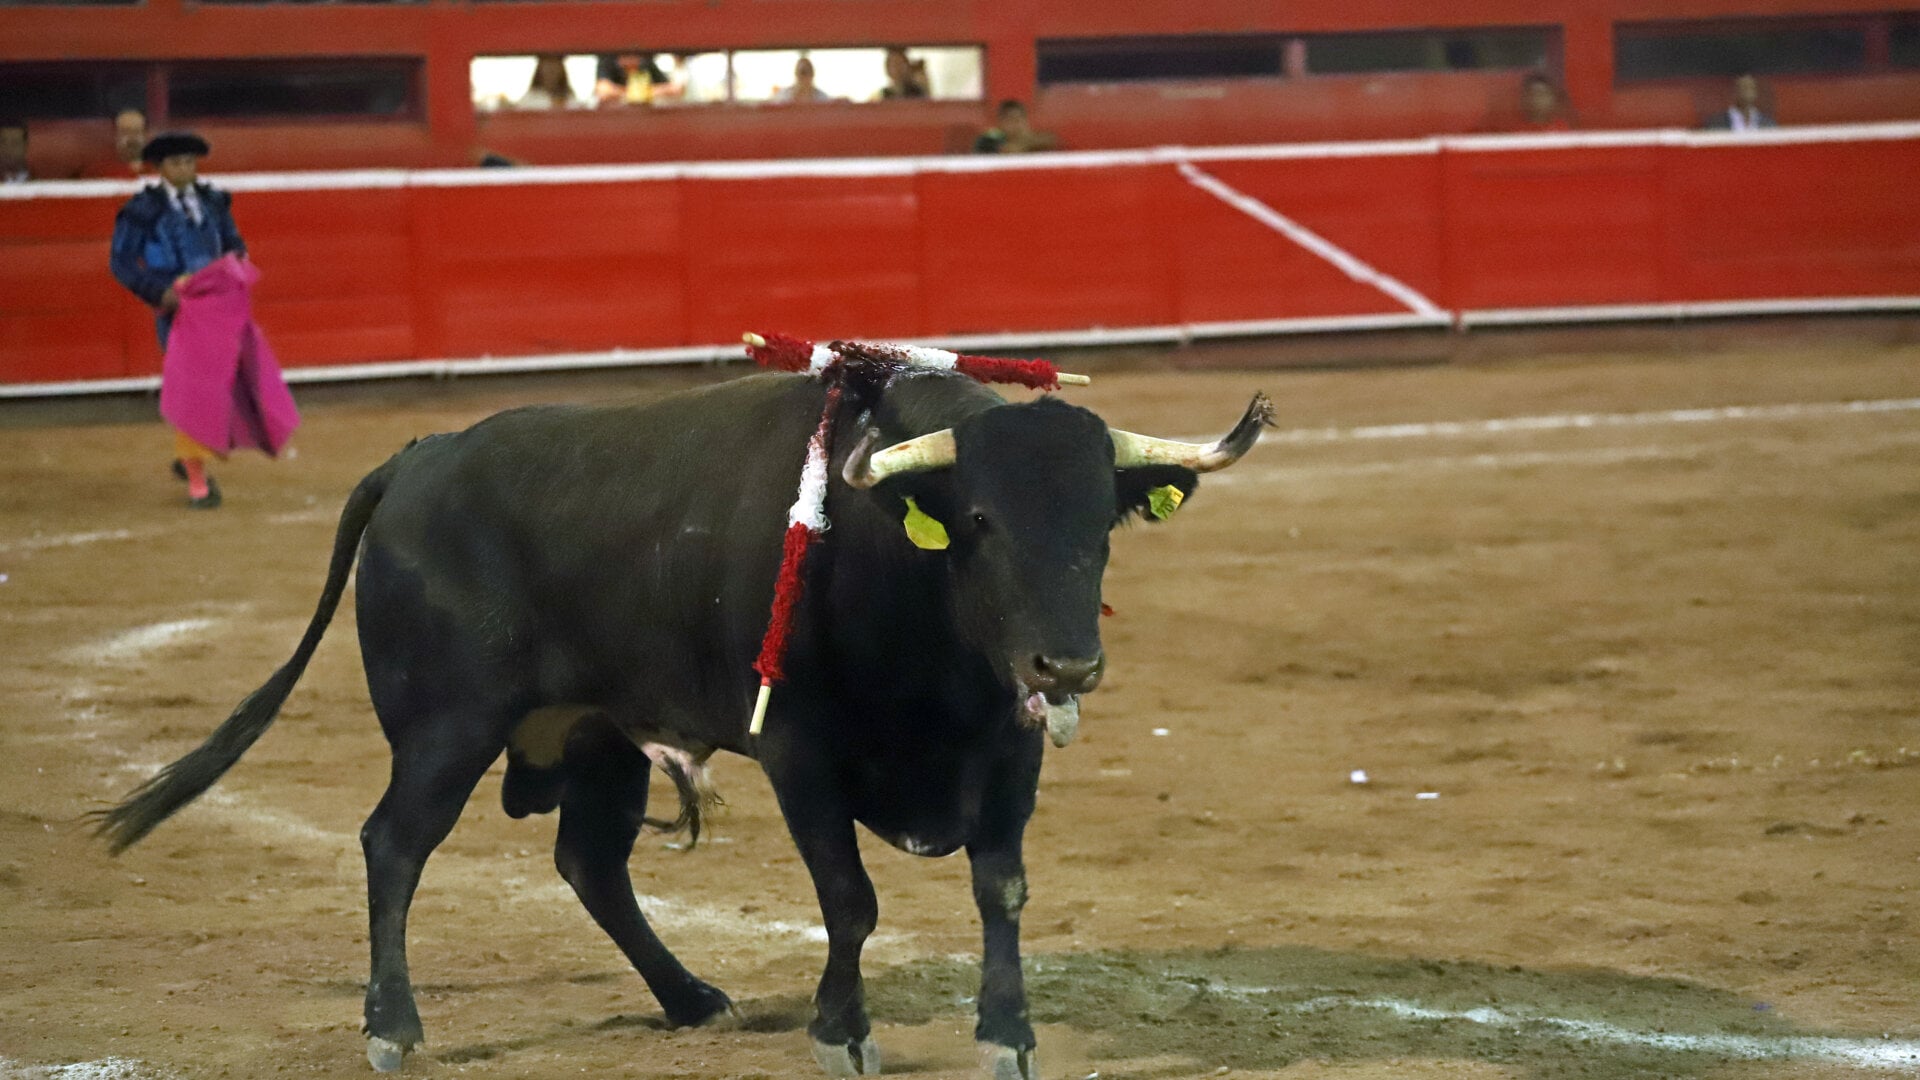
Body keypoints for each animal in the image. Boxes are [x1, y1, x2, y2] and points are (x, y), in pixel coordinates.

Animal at [95, 369, 1272, 1078]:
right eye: (978, 521)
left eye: (1103, 526)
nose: (1067, 663)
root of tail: (418, 457)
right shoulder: (802, 754)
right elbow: (851, 900)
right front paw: (842, 1032)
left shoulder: (1008, 748)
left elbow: (1003, 890)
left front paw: (1009, 1034)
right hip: (444, 729)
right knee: (394, 844)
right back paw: (393, 1028)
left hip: (597, 736)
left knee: (588, 862)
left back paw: (691, 997)